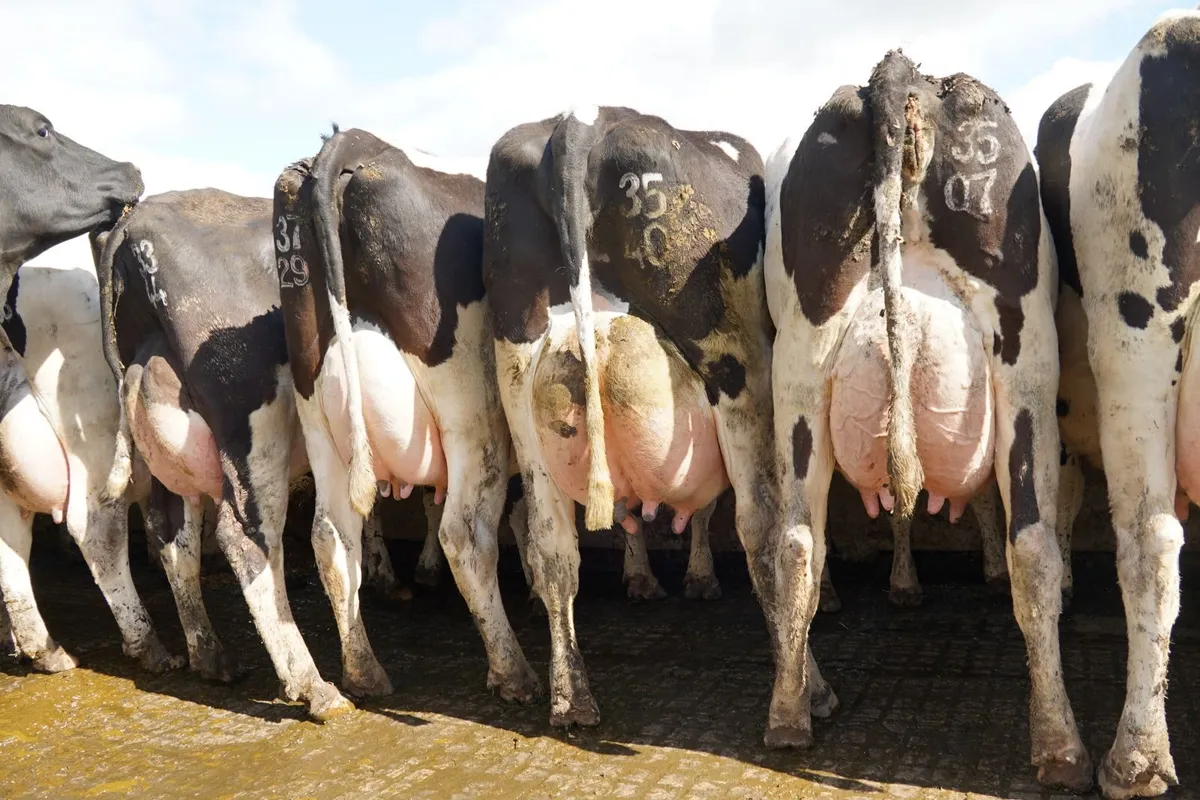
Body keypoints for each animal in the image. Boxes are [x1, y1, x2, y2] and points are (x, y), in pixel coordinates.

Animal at [93, 189, 352, 718]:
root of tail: (138, 219)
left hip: (172, 459)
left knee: (169, 535)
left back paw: (207, 657)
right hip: (255, 428)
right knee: (246, 538)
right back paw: (312, 685)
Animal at [271, 130, 539, 708]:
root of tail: (354, 144)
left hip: (318, 413)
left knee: (332, 537)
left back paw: (363, 673)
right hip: (472, 414)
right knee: (466, 532)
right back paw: (512, 671)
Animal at [483, 105, 837, 730]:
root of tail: (580, 123)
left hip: (520, 374)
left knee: (552, 546)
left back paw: (571, 701)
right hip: (736, 363)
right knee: (762, 526)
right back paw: (804, 691)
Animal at [763, 52, 1091, 790]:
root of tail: (900, 77)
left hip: (801, 351)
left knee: (795, 542)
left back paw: (788, 715)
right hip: (1025, 355)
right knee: (1034, 548)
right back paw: (1060, 745)